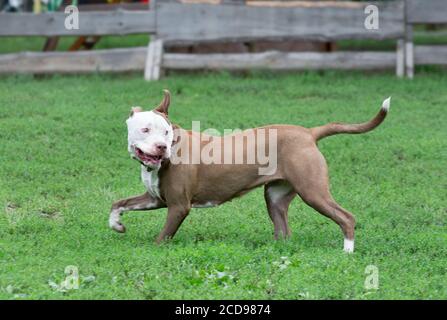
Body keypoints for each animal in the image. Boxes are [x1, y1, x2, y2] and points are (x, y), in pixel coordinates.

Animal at [110, 90, 390, 252]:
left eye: (166, 132)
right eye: (146, 129)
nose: (162, 147)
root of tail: (309, 133)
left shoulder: (179, 206)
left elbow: (161, 239)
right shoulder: (155, 198)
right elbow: (118, 203)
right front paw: (117, 226)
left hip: (313, 191)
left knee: (346, 217)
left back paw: (347, 252)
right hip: (276, 197)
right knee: (284, 231)